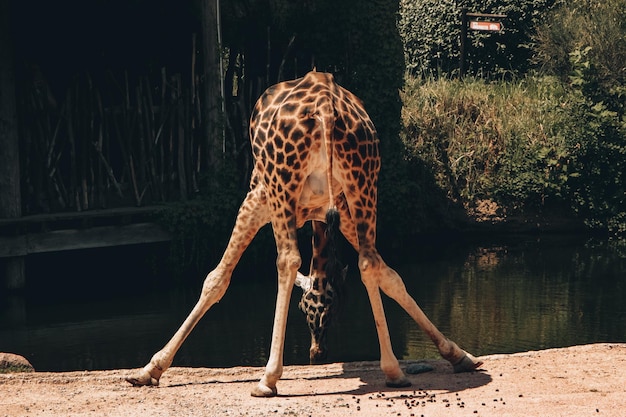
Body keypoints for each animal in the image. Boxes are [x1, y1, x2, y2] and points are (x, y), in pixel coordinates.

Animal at [124, 70, 480, 396]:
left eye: (324, 311)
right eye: (309, 309)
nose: (317, 354)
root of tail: (325, 106)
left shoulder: (257, 197)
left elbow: (216, 279)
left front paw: (149, 370)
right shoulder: (335, 212)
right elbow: (390, 275)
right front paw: (458, 355)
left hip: (281, 185)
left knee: (288, 260)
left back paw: (268, 379)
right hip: (364, 183)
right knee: (369, 262)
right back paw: (393, 370)